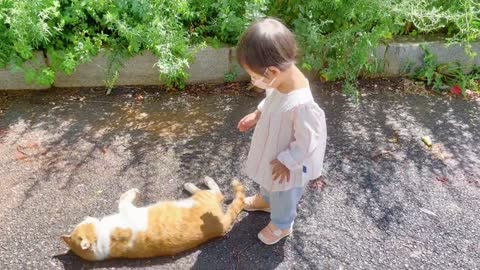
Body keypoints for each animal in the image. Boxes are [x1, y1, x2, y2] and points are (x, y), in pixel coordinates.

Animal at [62, 176, 246, 260]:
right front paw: (134, 192)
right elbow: (123, 198)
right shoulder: (126, 210)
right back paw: (197, 183)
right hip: (204, 198)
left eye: (82, 223)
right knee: (218, 193)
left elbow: (123, 197)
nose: (87, 217)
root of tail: (222, 228)